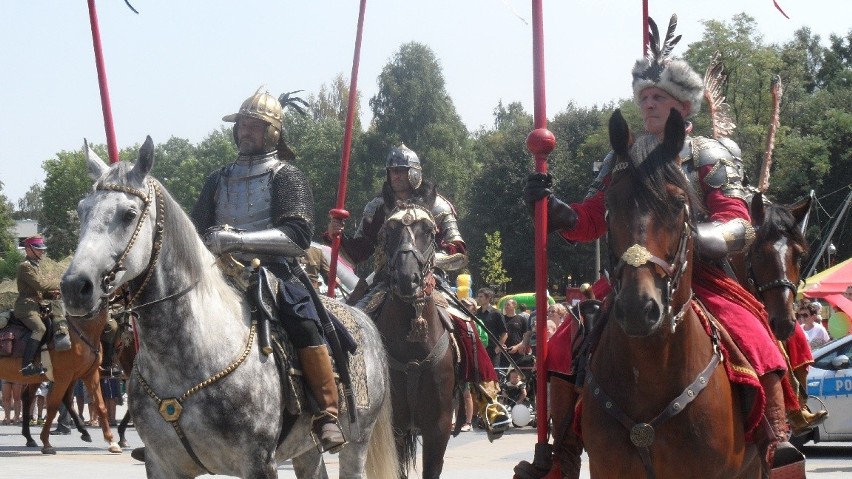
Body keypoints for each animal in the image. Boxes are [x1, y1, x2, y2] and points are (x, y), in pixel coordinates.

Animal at [0, 310, 121, 456]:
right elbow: (53, 406)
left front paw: (111, 441)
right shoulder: (64, 377)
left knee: (27, 398)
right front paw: (46, 443)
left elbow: (100, 406)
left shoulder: (89, 375)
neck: (83, 329)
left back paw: (29, 438)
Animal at [60, 137, 400, 478]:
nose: (76, 287)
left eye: (129, 214)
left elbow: (294, 232)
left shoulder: (258, 463)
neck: (189, 356)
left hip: (358, 440)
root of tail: (363, 317)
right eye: (81, 210)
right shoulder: (162, 465)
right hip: (306, 448)